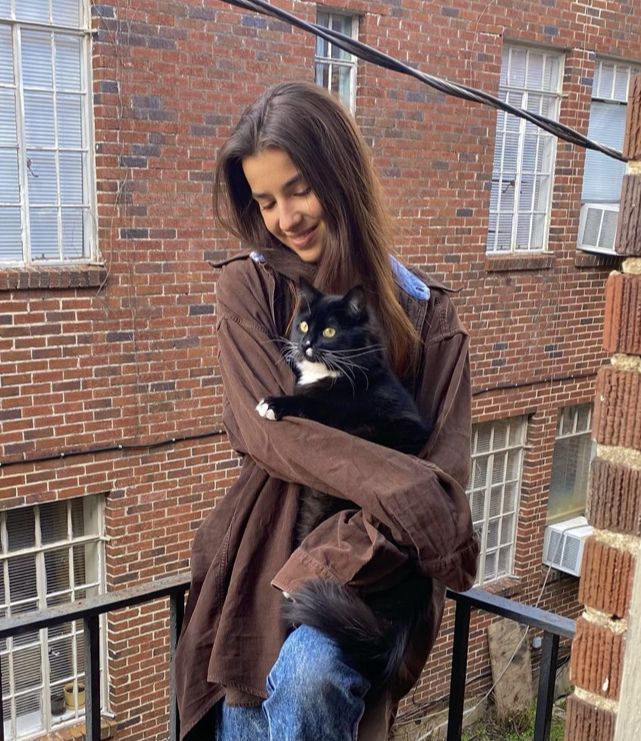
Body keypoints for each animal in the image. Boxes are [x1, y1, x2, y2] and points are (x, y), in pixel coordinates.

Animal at [255, 280, 430, 692]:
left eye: (331, 332)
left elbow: (319, 408)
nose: (306, 344)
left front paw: (274, 404)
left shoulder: (380, 420)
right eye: (304, 326)